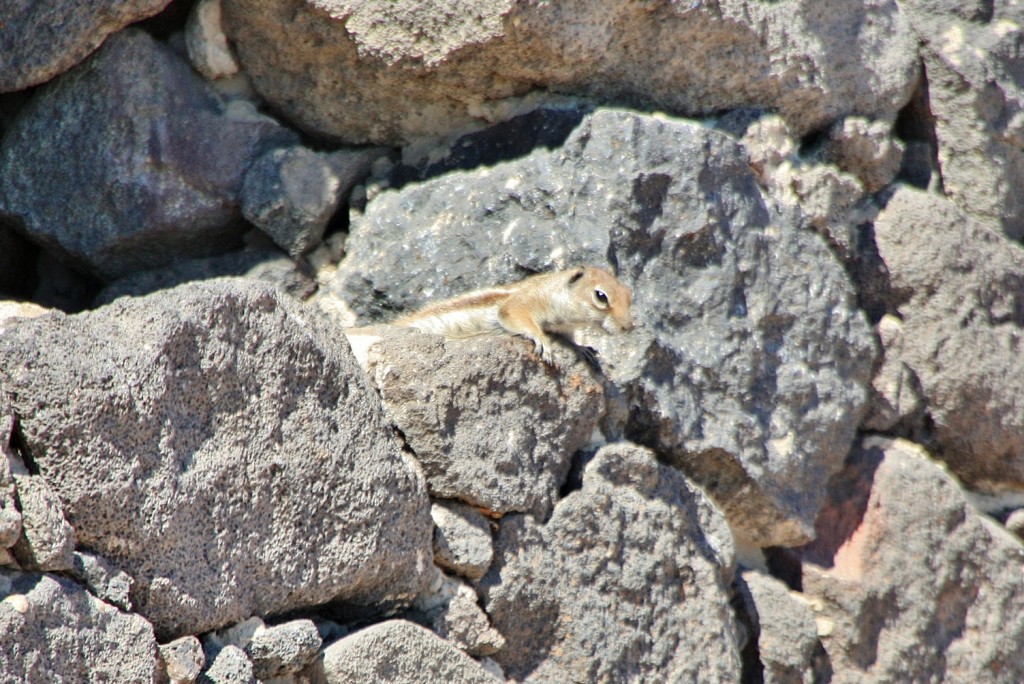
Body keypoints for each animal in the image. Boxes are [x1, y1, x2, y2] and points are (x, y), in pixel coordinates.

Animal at [393, 266, 626, 366]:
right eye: (601, 296)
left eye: (629, 295)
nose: (628, 327)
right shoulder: (524, 302)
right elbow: (514, 314)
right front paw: (542, 340)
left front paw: (581, 347)